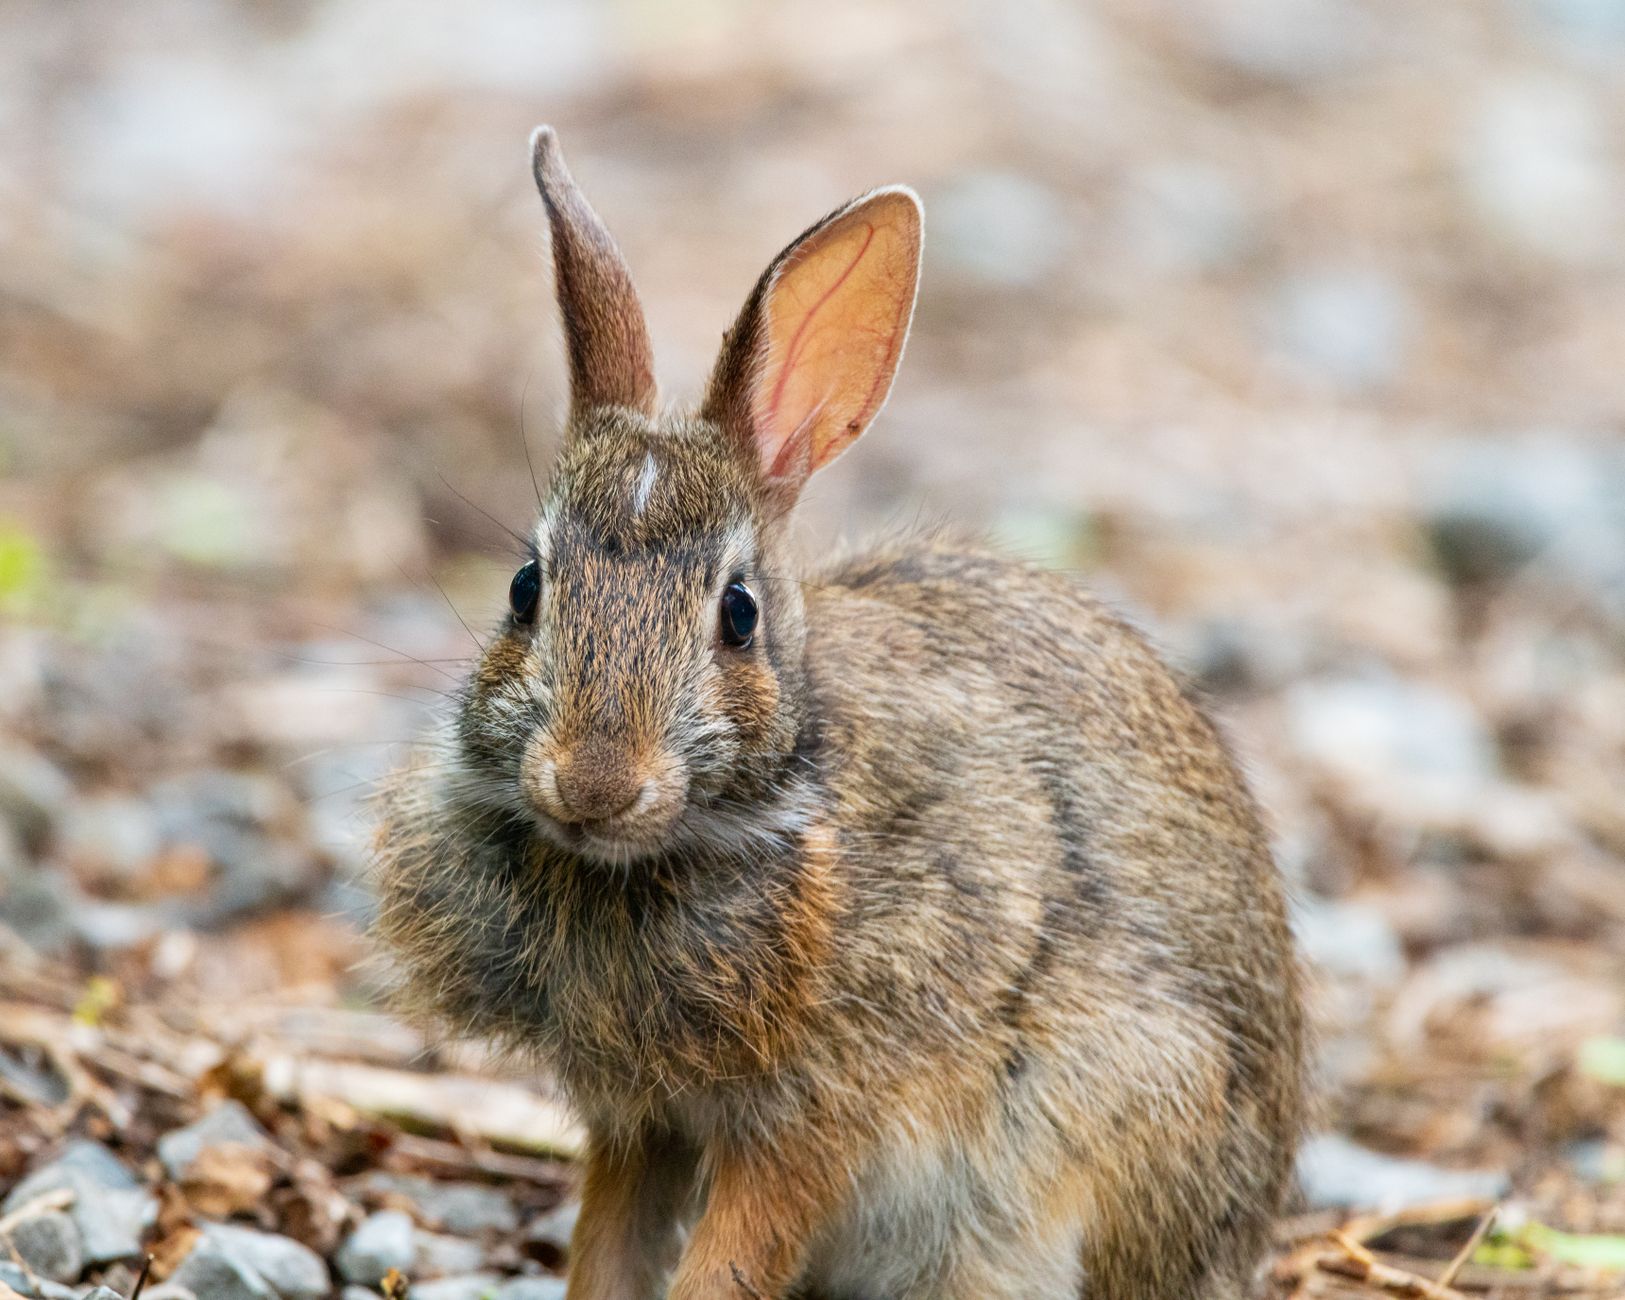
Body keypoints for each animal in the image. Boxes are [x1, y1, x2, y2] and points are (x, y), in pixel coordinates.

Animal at [373, 125, 1305, 1300]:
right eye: (525, 587)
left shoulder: (824, 1110)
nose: (592, 783)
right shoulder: (642, 1120)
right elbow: (611, 1247)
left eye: (737, 613)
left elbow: (731, 1258)